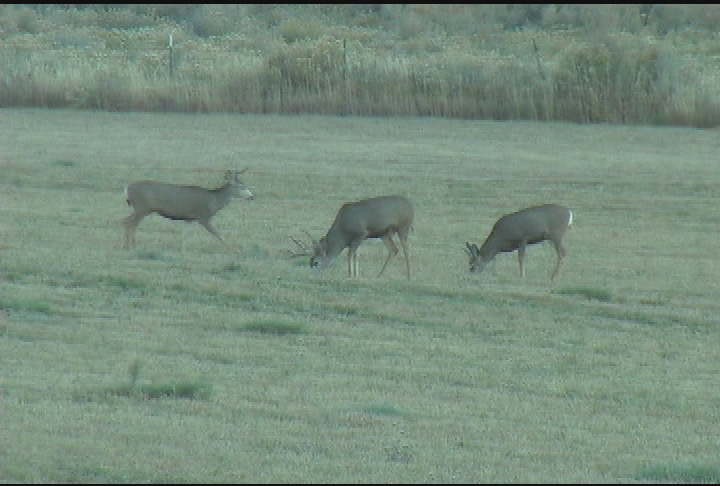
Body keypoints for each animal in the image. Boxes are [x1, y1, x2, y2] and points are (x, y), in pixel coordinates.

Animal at [123, 168, 253, 251]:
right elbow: (217, 233)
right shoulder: (203, 217)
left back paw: (126, 245)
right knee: (130, 223)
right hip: (142, 207)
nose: (252, 197)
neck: (214, 200)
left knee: (126, 220)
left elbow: (185, 235)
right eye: (242, 186)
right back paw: (131, 246)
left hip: (140, 208)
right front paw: (232, 249)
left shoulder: (188, 218)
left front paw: (183, 250)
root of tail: (127, 188)